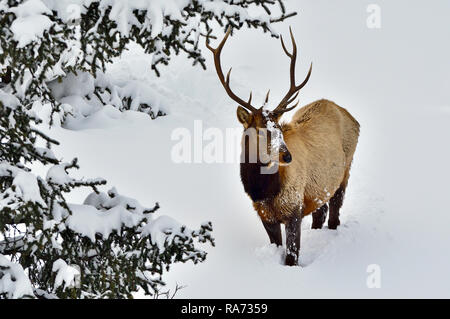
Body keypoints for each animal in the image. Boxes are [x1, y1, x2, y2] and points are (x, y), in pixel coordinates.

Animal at [207, 28, 358, 266]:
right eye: (260, 130)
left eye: (278, 127)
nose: (287, 156)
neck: (263, 190)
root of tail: (350, 115)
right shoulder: (264, 214)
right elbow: (277, 245)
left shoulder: (293, 208)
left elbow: (291, 256)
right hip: (319, 188)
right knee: (321, 211)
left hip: (345, 170)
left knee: (334, 210)